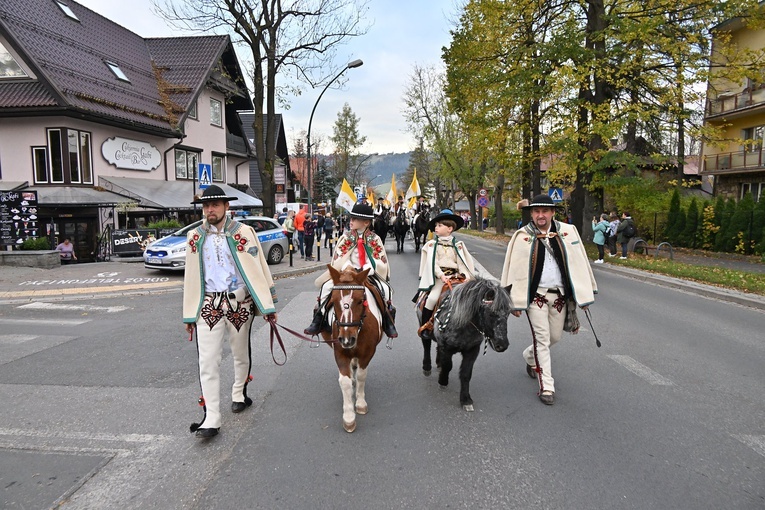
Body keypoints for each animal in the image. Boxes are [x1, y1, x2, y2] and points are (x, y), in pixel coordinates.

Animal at [320, 264, 382, 432]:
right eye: (333, 300)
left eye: (361, 301)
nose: (347, 339)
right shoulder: (340, 352)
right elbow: (345, 382)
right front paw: (349, 417)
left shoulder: (367, 353)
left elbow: (361, 375)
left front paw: (360, 403)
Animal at [418, 276, 508, 412]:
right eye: (491, 313)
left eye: (508, 314)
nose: (502, 345)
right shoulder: (446, 347)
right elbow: (448, 366)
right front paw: (443, 381)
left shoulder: (472, 350)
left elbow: (466, 374)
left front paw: (465, 399)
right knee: (426, 345)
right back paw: (427, 366)